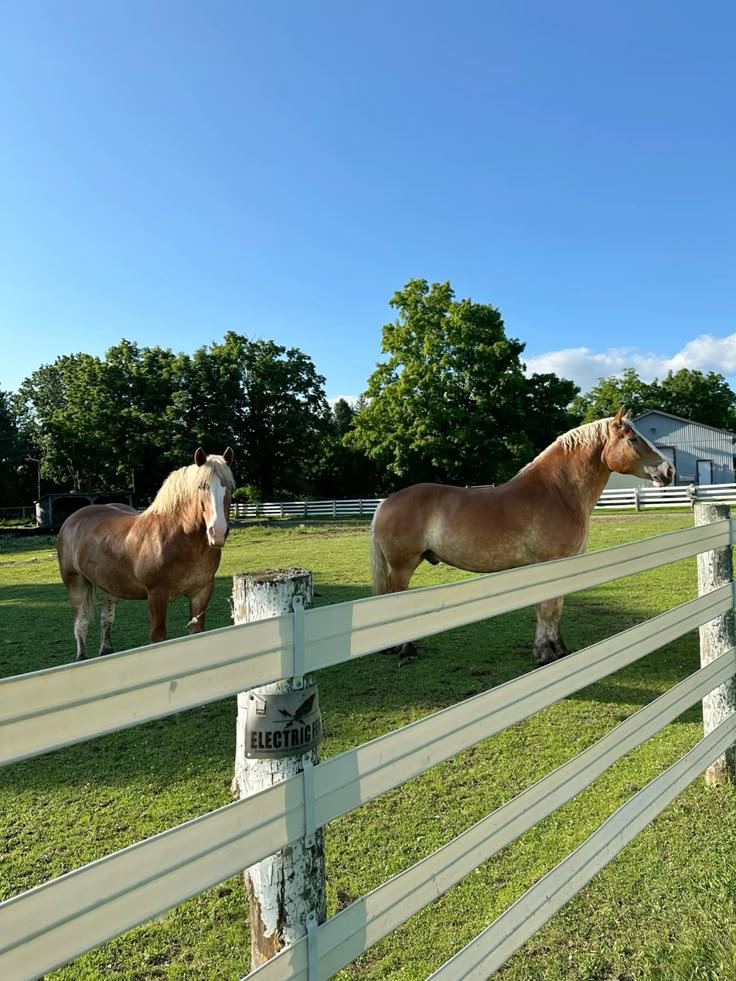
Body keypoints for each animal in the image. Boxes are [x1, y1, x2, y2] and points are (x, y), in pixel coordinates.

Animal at [57, 447, 235, 661]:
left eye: (229, 488)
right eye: (202, 486)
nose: (218, 532)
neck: (179, 537)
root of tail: (73, 519)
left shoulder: (202, 592)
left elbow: (197, 632)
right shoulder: (156, 595)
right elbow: (157, 637)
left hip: (110, 586)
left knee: (106, 619)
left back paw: (106, 651)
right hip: (76, 583)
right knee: (81, 623)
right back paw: (81, 658)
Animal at [370, 409, 674, 665]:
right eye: (633, 439)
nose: (668, 470)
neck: (557, 492)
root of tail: (386, 502)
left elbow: (556, 607)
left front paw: (558, 649)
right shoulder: (548, 563)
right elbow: (546, 608)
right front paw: (545, 654)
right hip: (403, 565)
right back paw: (406, 650)